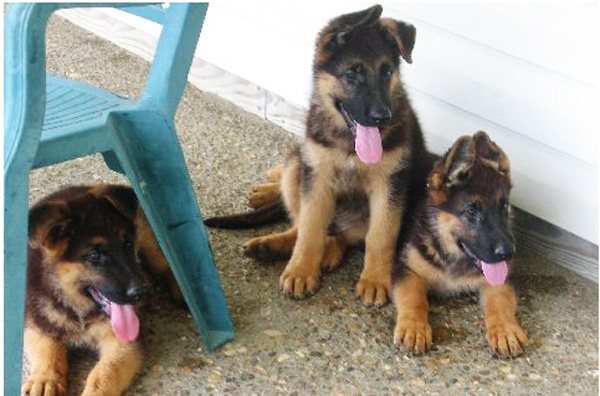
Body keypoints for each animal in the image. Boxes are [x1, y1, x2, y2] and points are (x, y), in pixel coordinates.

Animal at [21, 186, 180, 396]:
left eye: (128, 244)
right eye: (93, 255)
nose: (140, 293)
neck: (79, 310)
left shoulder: (124, 343)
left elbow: (104, 374)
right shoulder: (35, 321)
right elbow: (47, 348)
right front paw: (45, 379)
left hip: (149, 240)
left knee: (168, 264)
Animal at [392, 131, 528, 358]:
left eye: (504, 206)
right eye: (471, 212)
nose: (508, 253)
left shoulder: (501, 281)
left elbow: (499, 302)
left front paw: (505, 330)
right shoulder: (407, 270)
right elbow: (414, 298)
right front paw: (414, 328)